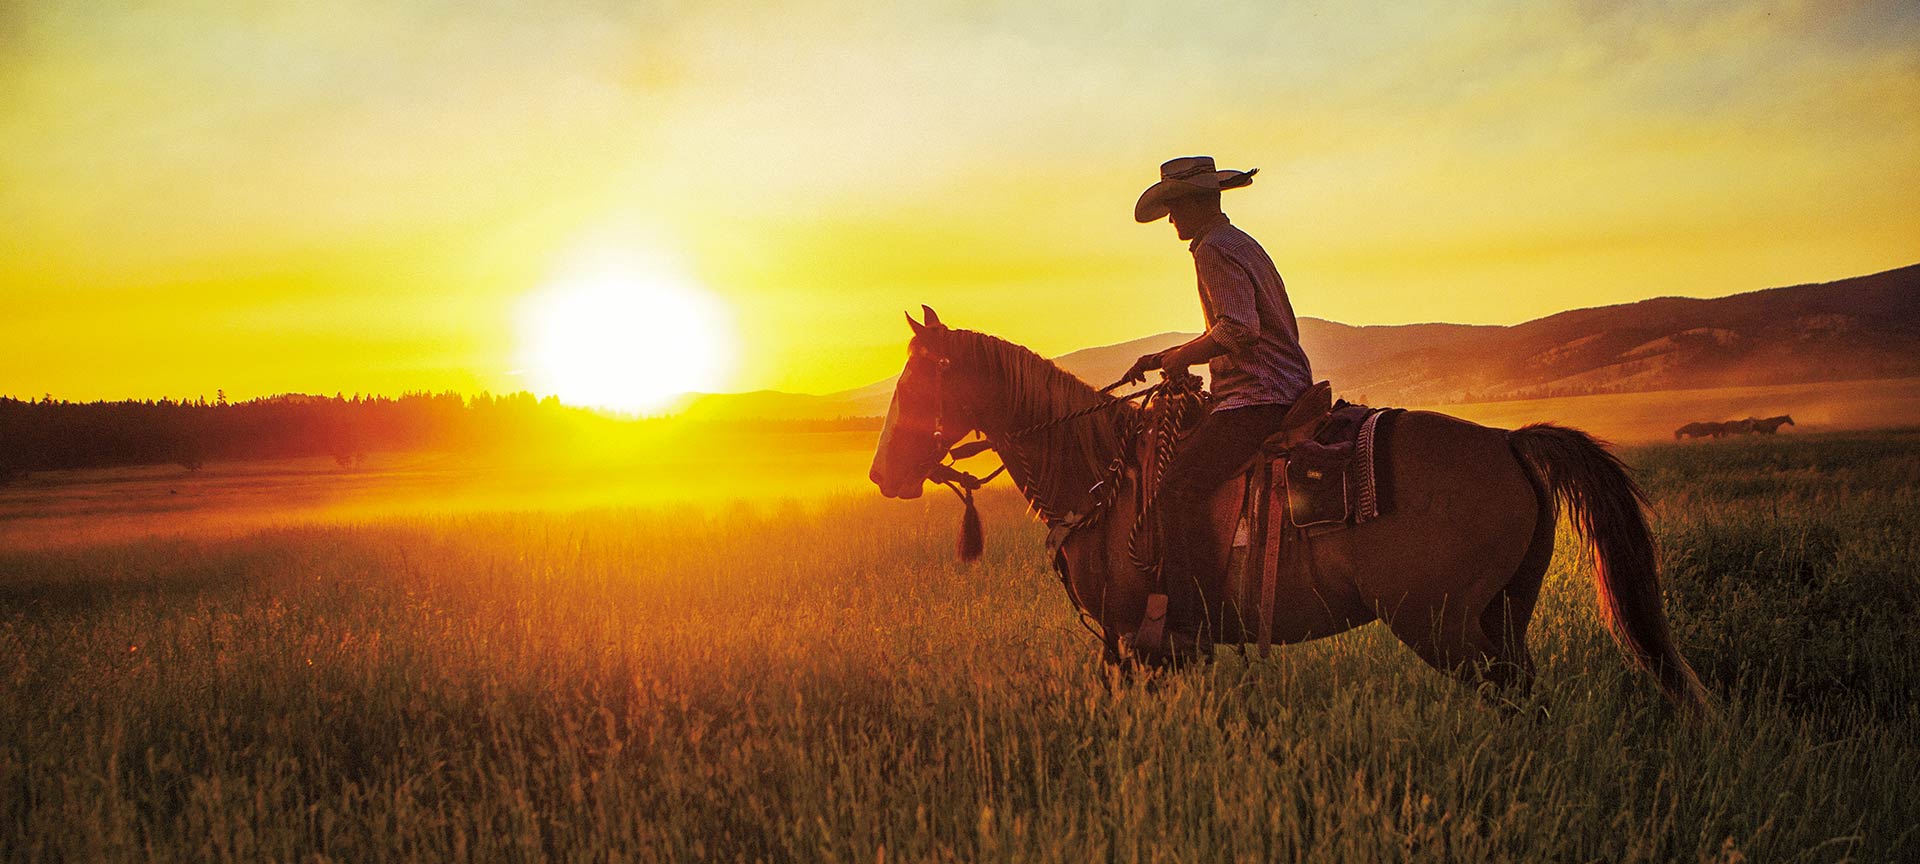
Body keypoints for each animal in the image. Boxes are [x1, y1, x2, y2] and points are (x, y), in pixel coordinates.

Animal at [871, 307, 1712, 710]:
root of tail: (1508, 442)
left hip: (1441, 626)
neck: (1098, 474)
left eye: (916, 381)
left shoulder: (1133, 638)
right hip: (1502, 615)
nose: (882, 474)